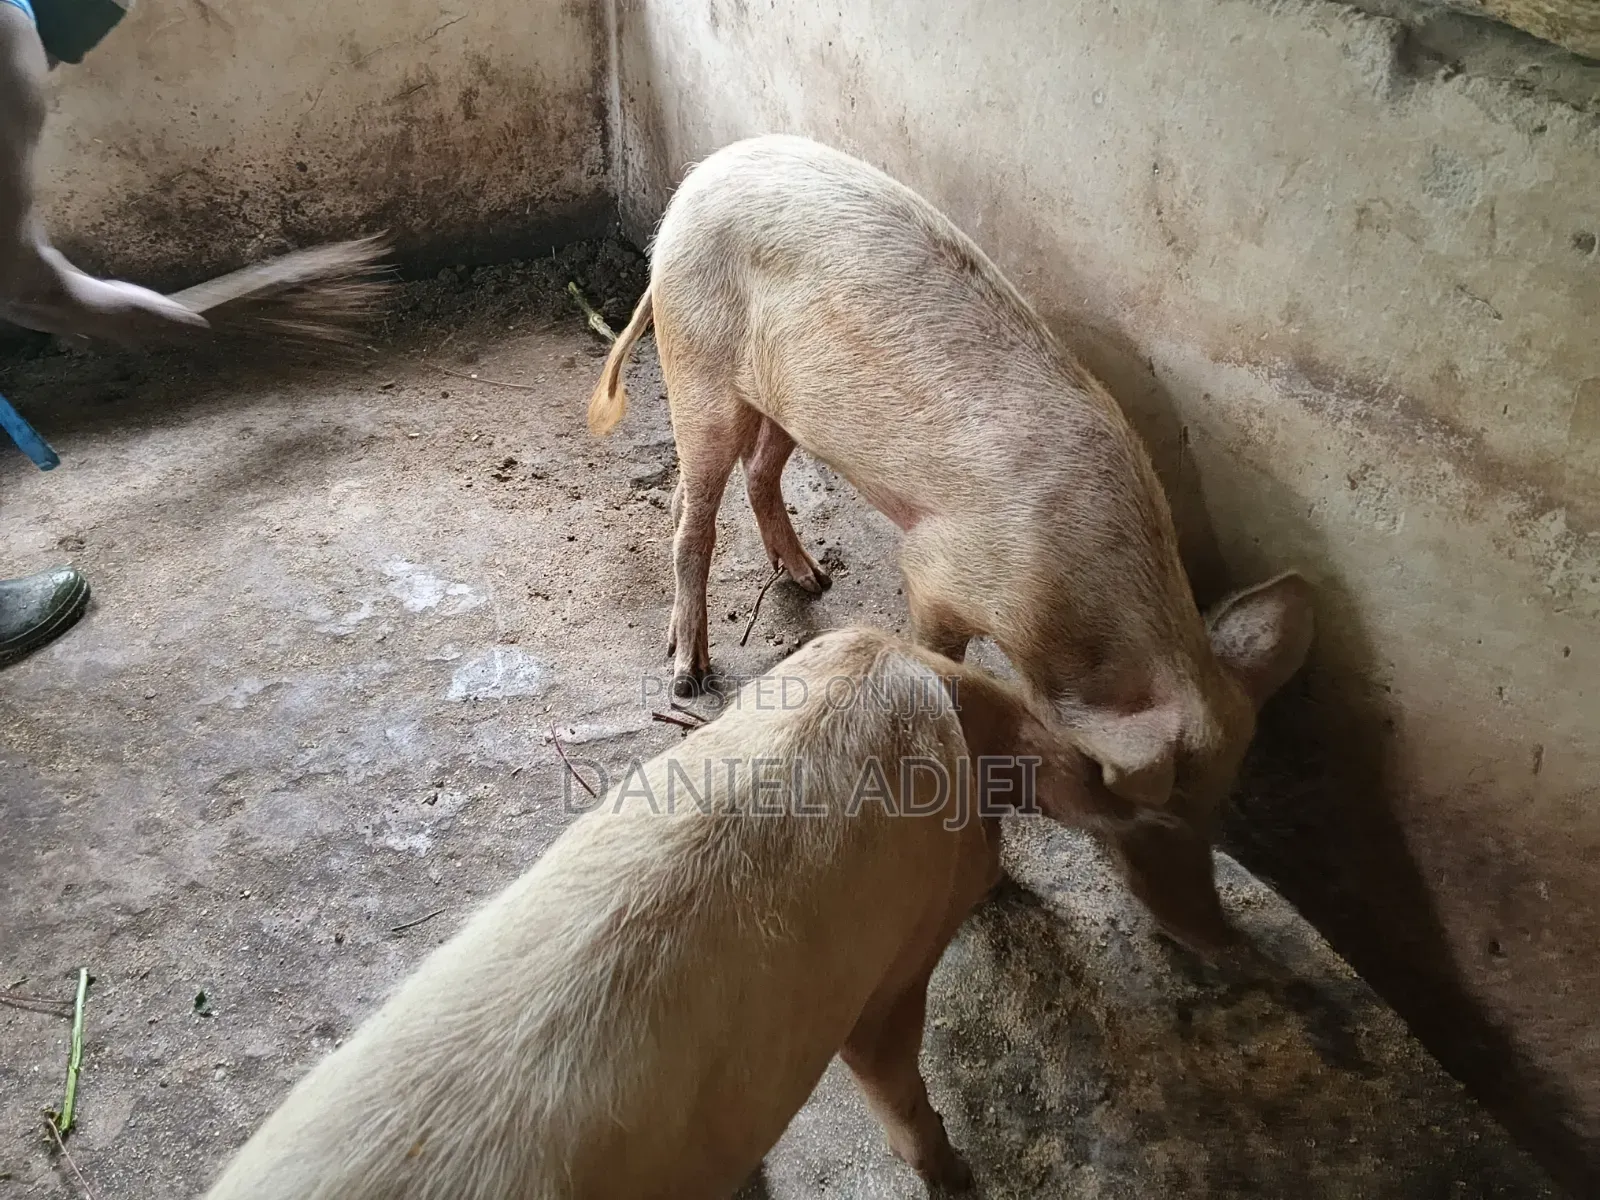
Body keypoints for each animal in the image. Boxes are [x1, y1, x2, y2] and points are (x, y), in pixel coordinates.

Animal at [587, 134, 1314, 953]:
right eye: (1141, 805)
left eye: (1218, 808)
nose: (1222, 940)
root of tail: (693, 186)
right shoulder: (938, 571)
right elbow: (941, 657)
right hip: (698, 367)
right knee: (695, 517)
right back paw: (689, 673)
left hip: (784, 401)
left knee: (755, 472)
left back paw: (812, 580)